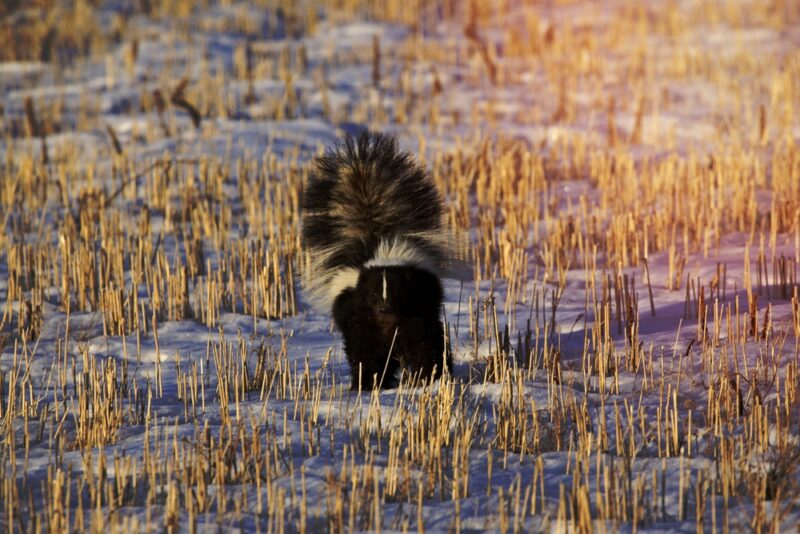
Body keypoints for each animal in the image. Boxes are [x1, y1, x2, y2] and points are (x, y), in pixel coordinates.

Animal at [302, 130, 454, 390]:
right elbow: (365, 353)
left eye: (397, 292)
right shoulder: (359, 317)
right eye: (373, 294)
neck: (388, 321)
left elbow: (424, 346)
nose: (384, 308)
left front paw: (429, 377)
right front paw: (366, 383)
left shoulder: (417, 313)